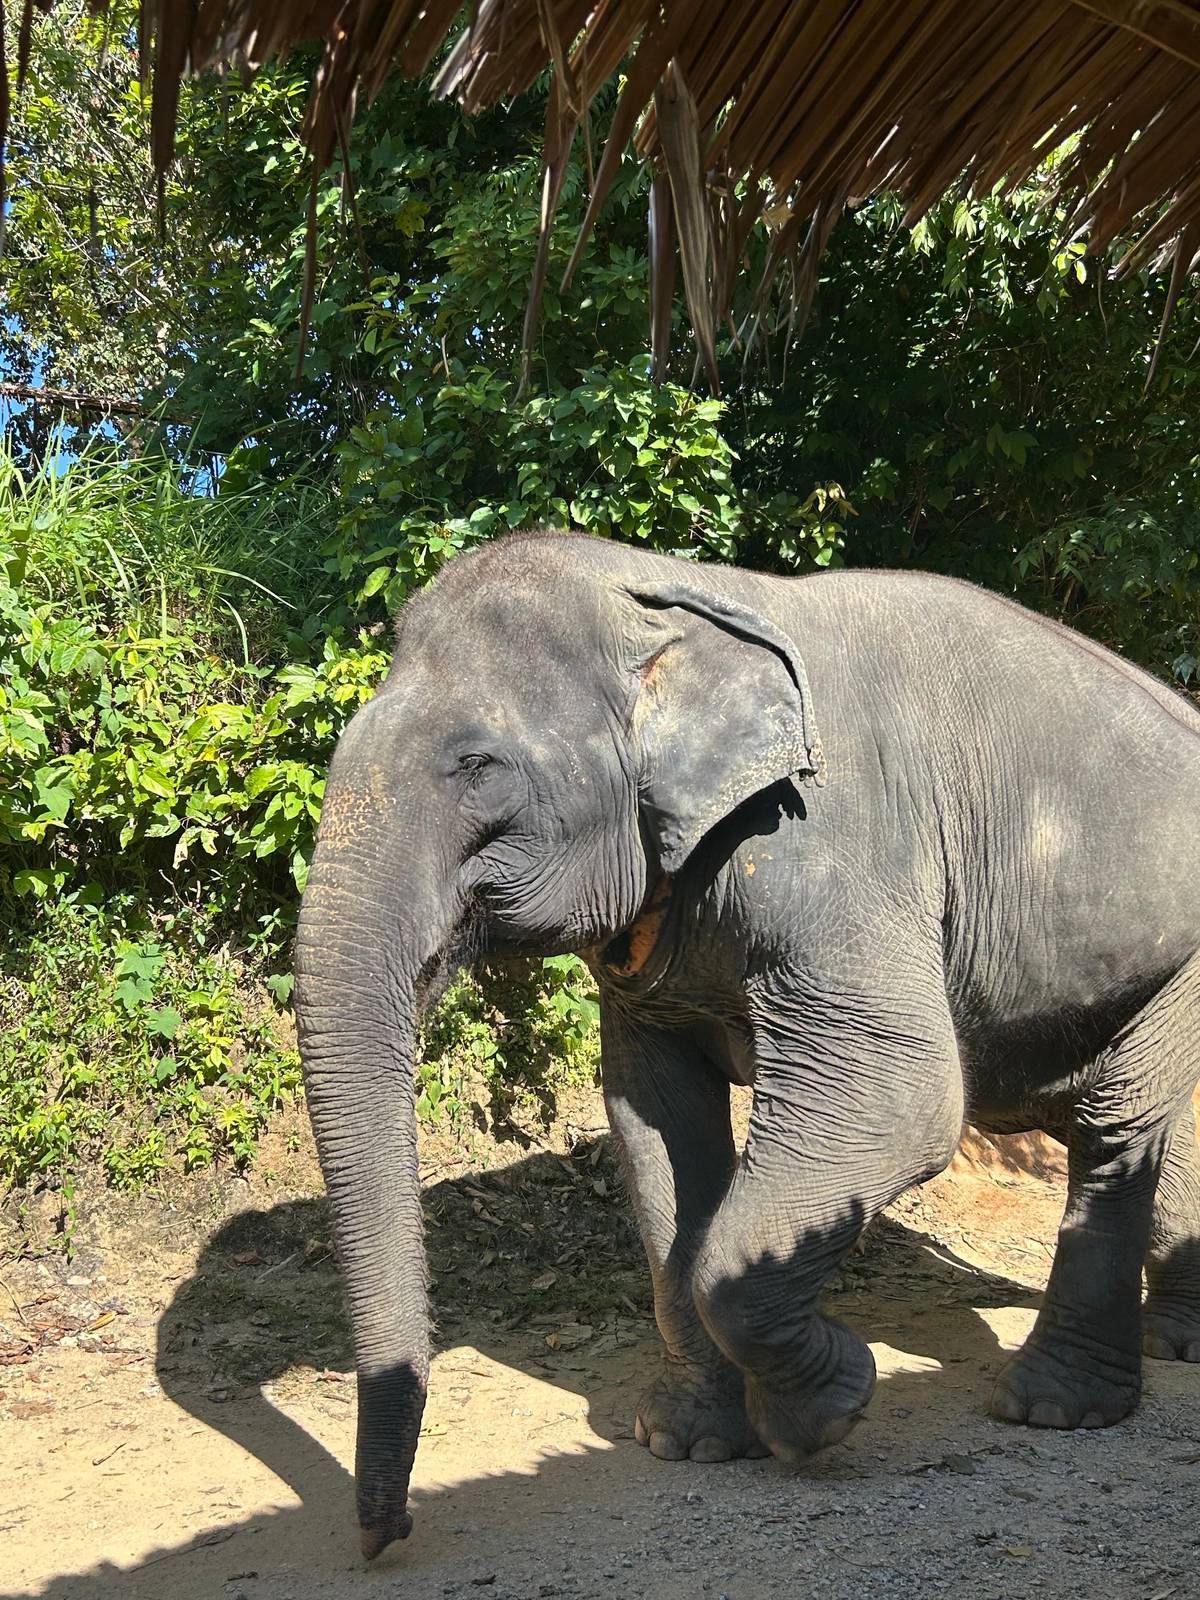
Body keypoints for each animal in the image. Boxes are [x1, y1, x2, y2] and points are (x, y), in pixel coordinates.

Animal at [294, 529, 1200, 1559]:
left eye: (476, 765)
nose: (389, 1535)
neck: (675, 593)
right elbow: (657, 1126)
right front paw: (689, 1443)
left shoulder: (832, 848)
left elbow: (905, 1094)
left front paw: (833, 1406)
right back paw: (1174, 1345)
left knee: (1115, 1125)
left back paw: (1054, 1408)